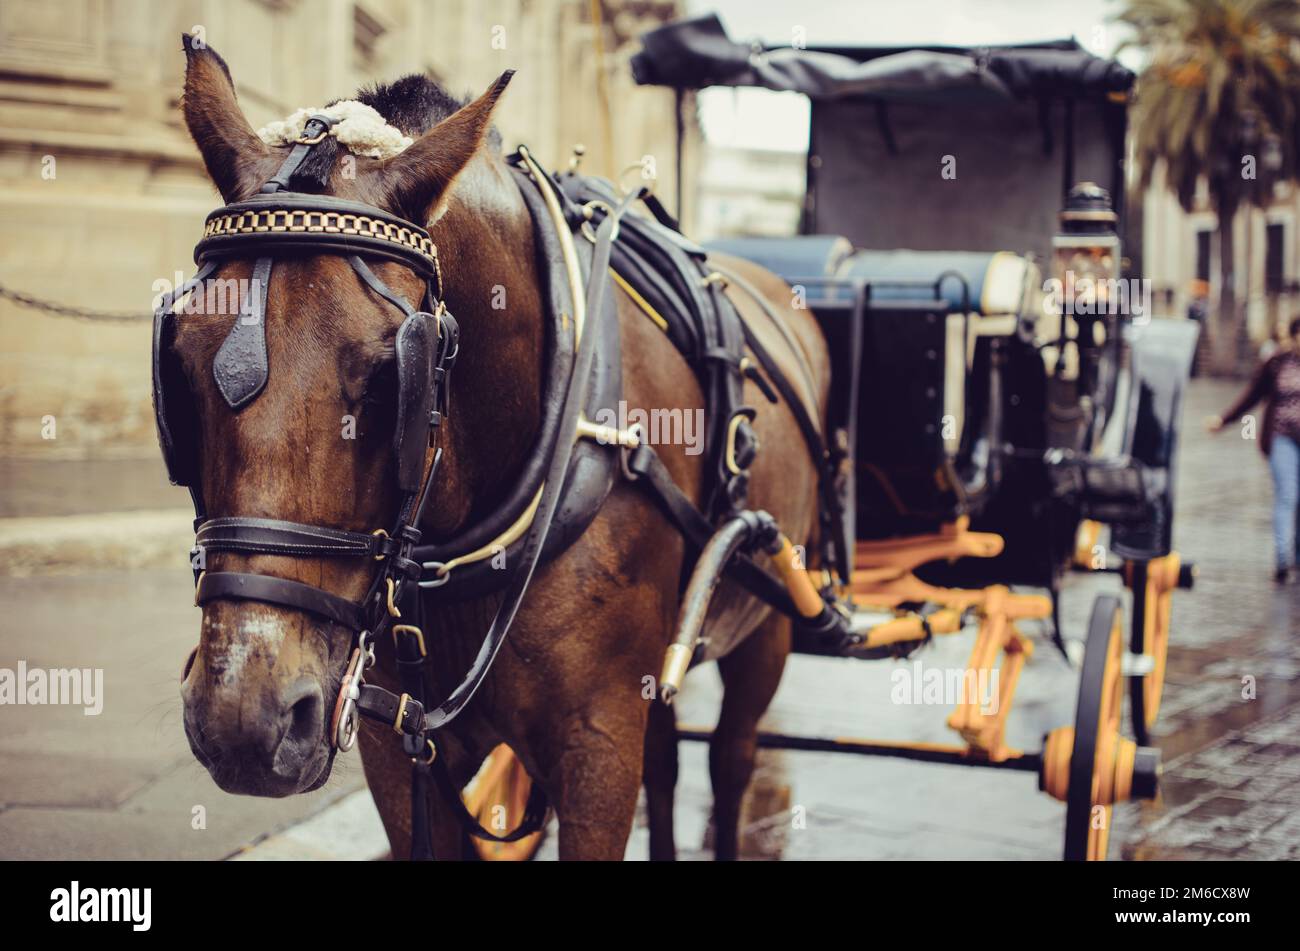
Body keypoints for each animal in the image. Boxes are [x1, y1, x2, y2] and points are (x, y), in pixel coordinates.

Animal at [173, 39, 830, 861]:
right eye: (180, 363)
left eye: (391, 381)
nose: (243, 722)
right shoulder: (399, 751)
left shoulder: (598, 744)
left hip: (768, 622)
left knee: (733, 757)